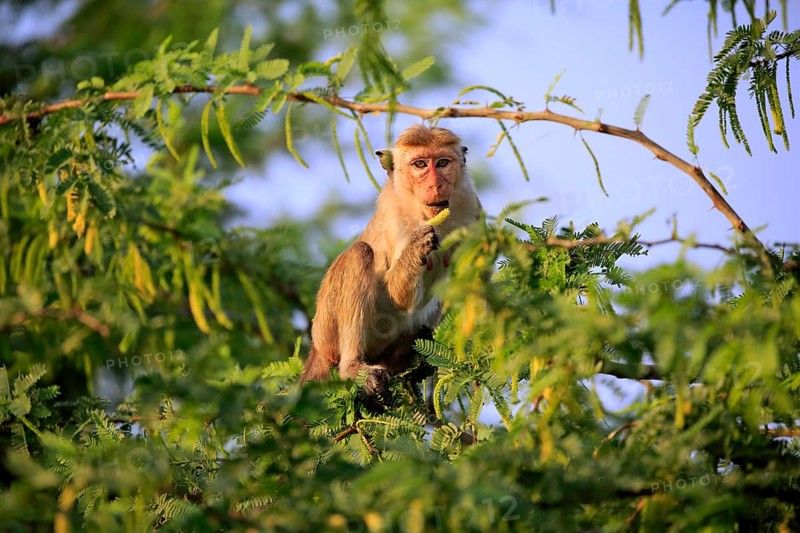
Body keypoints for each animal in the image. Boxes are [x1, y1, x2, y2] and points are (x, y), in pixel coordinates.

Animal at [300, 124, 482, 409]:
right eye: (420, 164)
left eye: (442, 163)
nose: (435, 184)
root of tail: (316, 349)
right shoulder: (396, 218)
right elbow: (400, 296)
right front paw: (416, 248)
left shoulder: (473, 208)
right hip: (328, 329)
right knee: (359, 254)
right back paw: (352, 368)